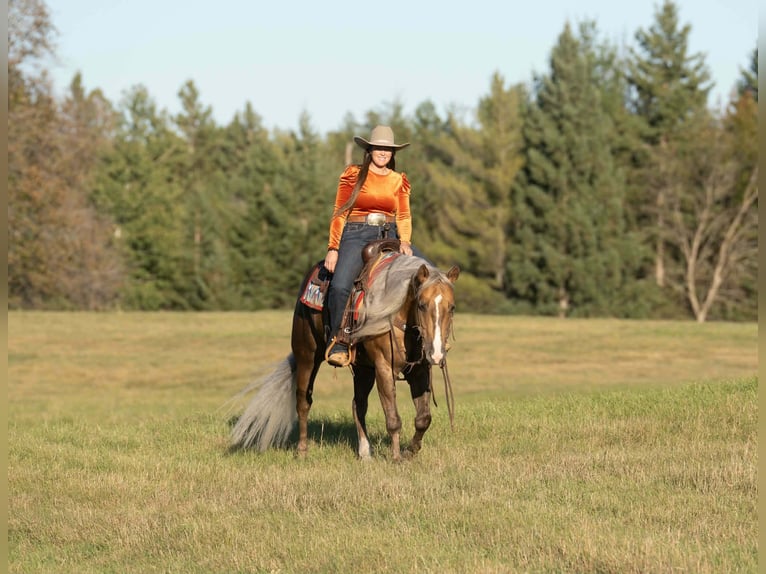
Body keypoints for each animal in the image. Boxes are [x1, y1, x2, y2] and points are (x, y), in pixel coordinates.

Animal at [229, 240, 460, 461]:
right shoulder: (384, 368)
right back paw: (302, 451)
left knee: (358, 404)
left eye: (452, 307)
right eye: (421, 304)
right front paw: (396, 458)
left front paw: (410, 451)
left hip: (363, 368)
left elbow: (423, 419)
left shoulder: (419, 371)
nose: (436, 353)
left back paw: (365, 453)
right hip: (307, 356)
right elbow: (393, 419)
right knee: (303, 401)